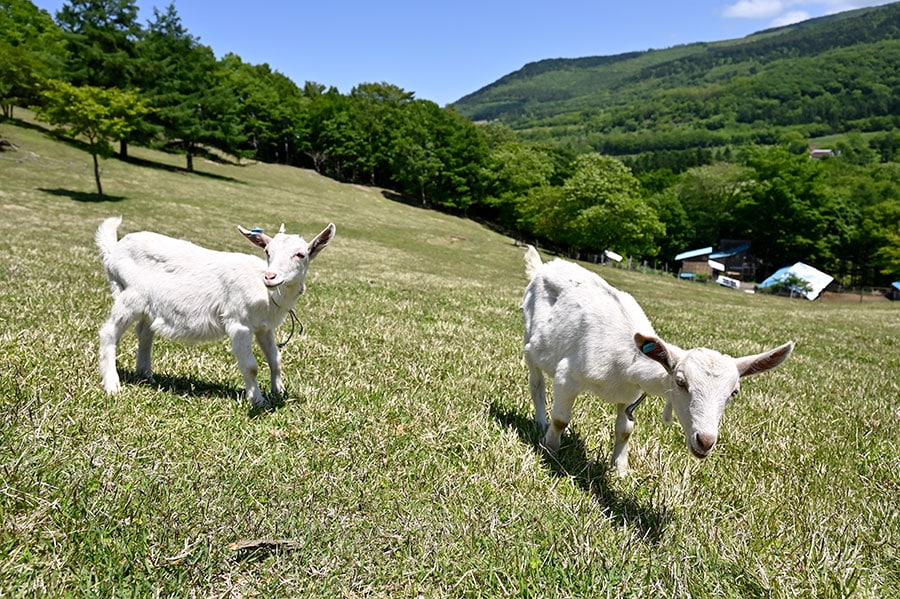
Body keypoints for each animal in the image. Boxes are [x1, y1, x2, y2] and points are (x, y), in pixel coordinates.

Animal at [95, 216, 336, 408]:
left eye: (301, 254)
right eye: (268, 252)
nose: (270, 277)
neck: (267, 293)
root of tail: (113, 250)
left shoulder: (263, 327)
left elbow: (275, 359)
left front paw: (278, 391)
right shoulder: (238, 322)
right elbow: (251, 367)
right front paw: (258, 401)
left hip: (149, 304)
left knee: (145, 333)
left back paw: (146, 375)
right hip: (130, 295)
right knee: (109, 332)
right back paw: (112, 385)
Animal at [520, 246, 796, 476]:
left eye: (734, 393)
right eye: (681, 382)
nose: (705, 441)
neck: (627, 361)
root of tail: (544, 266)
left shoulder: (629, 395)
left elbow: (625, 430)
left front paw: (620, 470)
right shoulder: (569, 375)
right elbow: (560, 418)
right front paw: (550, 450)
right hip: (530, 344)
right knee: (537, 384)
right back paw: (541, 422)